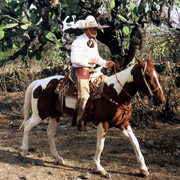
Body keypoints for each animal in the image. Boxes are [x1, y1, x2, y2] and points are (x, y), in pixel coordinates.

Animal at [19, 57, 165, 177]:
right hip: (40, 114)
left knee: (49, 133)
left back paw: (58, 158)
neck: (114, 92)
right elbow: (100, 146)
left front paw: (143, 168)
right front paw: (99, 168)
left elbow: (135, 142)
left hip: (56, 114)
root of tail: (38, 82)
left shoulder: (123, 123)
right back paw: (24, 151)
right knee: (27, 126)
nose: (161, 100)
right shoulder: (103, 123)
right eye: (147, 76)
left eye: (157, 75)